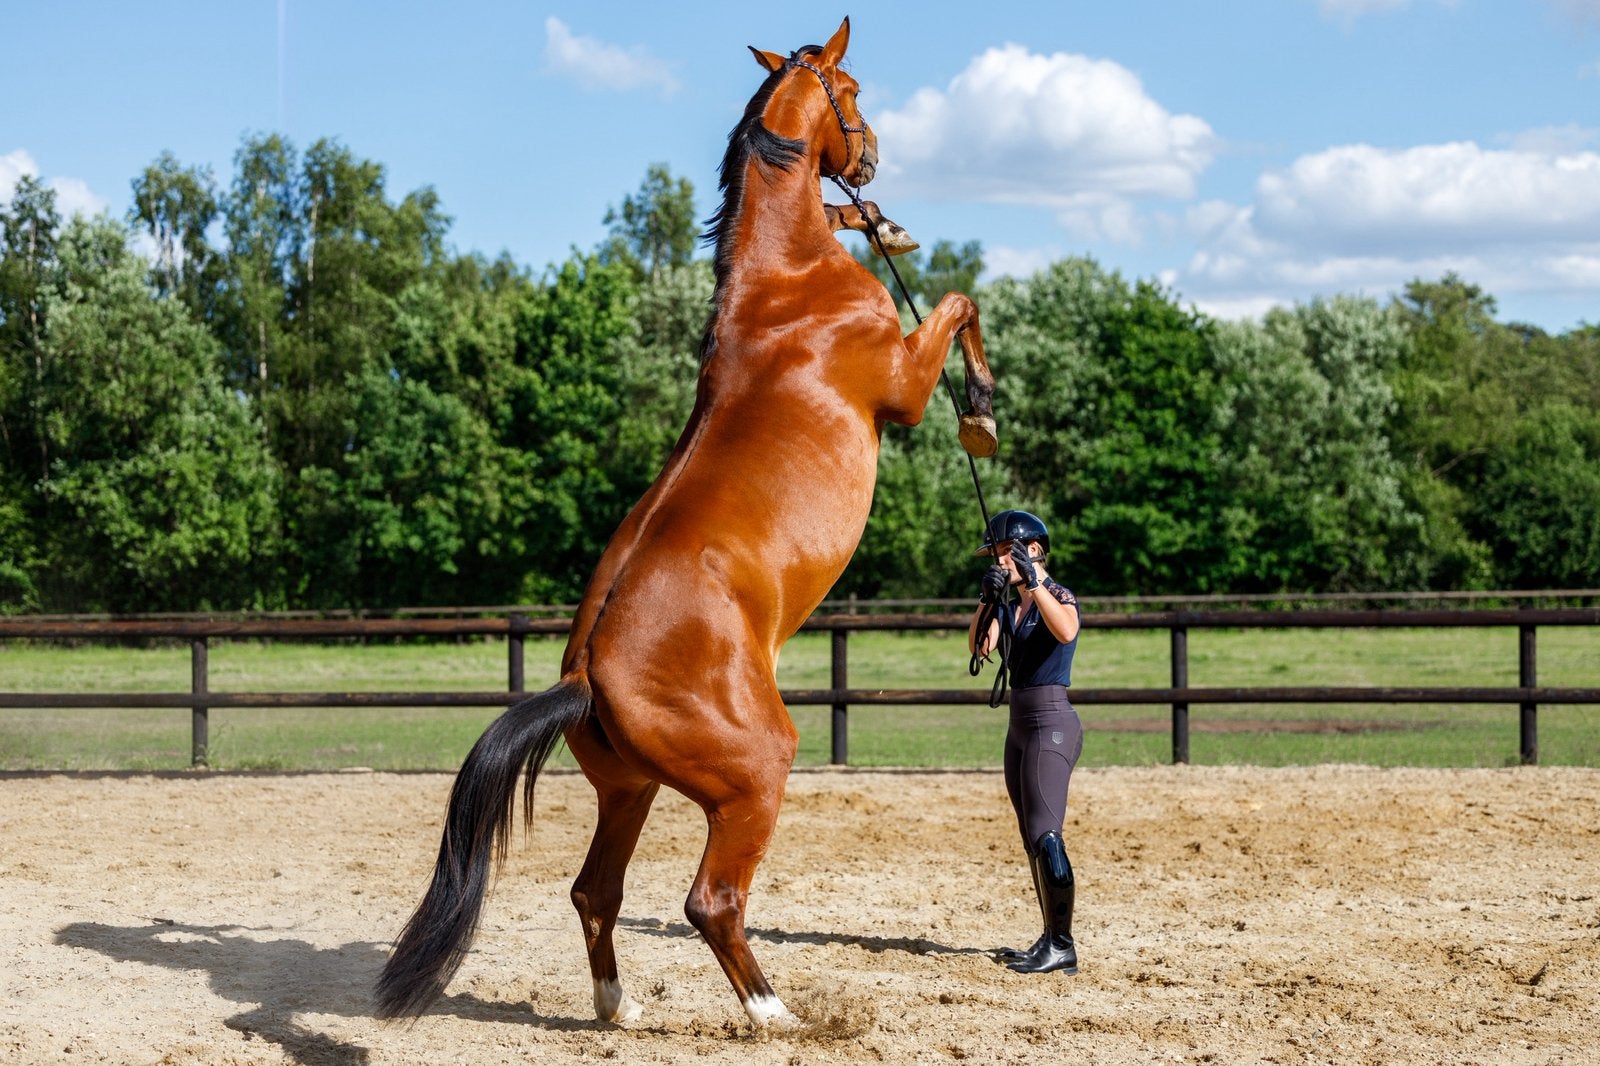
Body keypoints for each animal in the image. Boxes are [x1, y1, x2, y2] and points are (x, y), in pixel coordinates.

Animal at [374, 17, 996, 1032]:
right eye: (854, 89)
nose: (869, 156)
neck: (788, 278)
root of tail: (585, 676)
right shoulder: (902, 391)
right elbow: (958, 304)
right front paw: (980, 412)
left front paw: (881, 221)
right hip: (754, 777)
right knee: (711, 900)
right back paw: (774, 1016)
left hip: (629, 791)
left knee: (596, 891)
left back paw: (618, 1008)